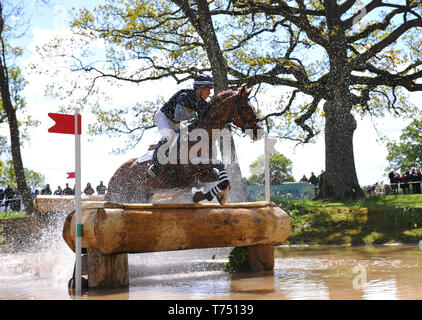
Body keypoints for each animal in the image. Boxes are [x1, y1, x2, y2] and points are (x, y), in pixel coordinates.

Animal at [105, 84, 262, 205]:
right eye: (244, 107)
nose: (259, 132)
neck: (204, 136)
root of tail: (116, 173)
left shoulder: (203, 175)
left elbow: (224, 178)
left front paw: (205, 196)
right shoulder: (189, 168)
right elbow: (220, 164)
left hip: (140, 196)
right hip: (123, 193)